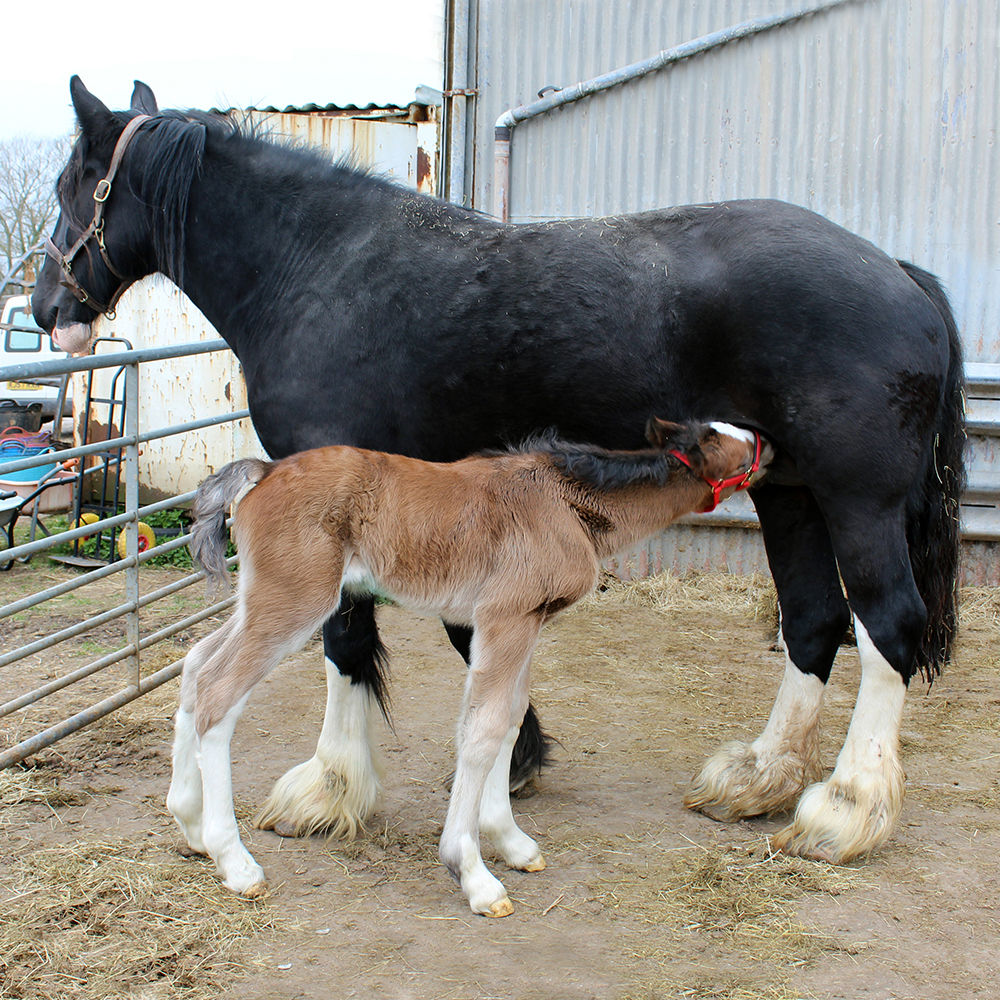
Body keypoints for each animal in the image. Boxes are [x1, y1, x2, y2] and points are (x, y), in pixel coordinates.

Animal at [35, 78, 964, 864]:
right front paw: (515, 758)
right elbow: (456, 636)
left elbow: (348, 640)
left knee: (886, 625)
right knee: (812, 622)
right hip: (789, 493)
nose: (46, 309)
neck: (318, 268)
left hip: (857, 502)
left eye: (70, 186)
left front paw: (332, 787)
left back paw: (846, 808)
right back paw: (759, 778)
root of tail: (899, 274)